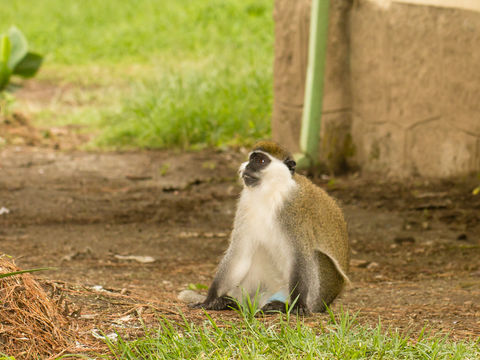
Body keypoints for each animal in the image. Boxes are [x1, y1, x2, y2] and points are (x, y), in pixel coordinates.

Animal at [189, 141, 350, 316]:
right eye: (251, 159)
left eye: (261, 161)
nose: (246, 167)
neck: (271, 193)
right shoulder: (246, 202)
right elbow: (240, 254)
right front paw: (210, 299)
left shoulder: (293, 208)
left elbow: (301, 255)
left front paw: (298, 305)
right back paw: (233, 302)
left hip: (321, 295)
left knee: (316, 255)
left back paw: (284, 305)